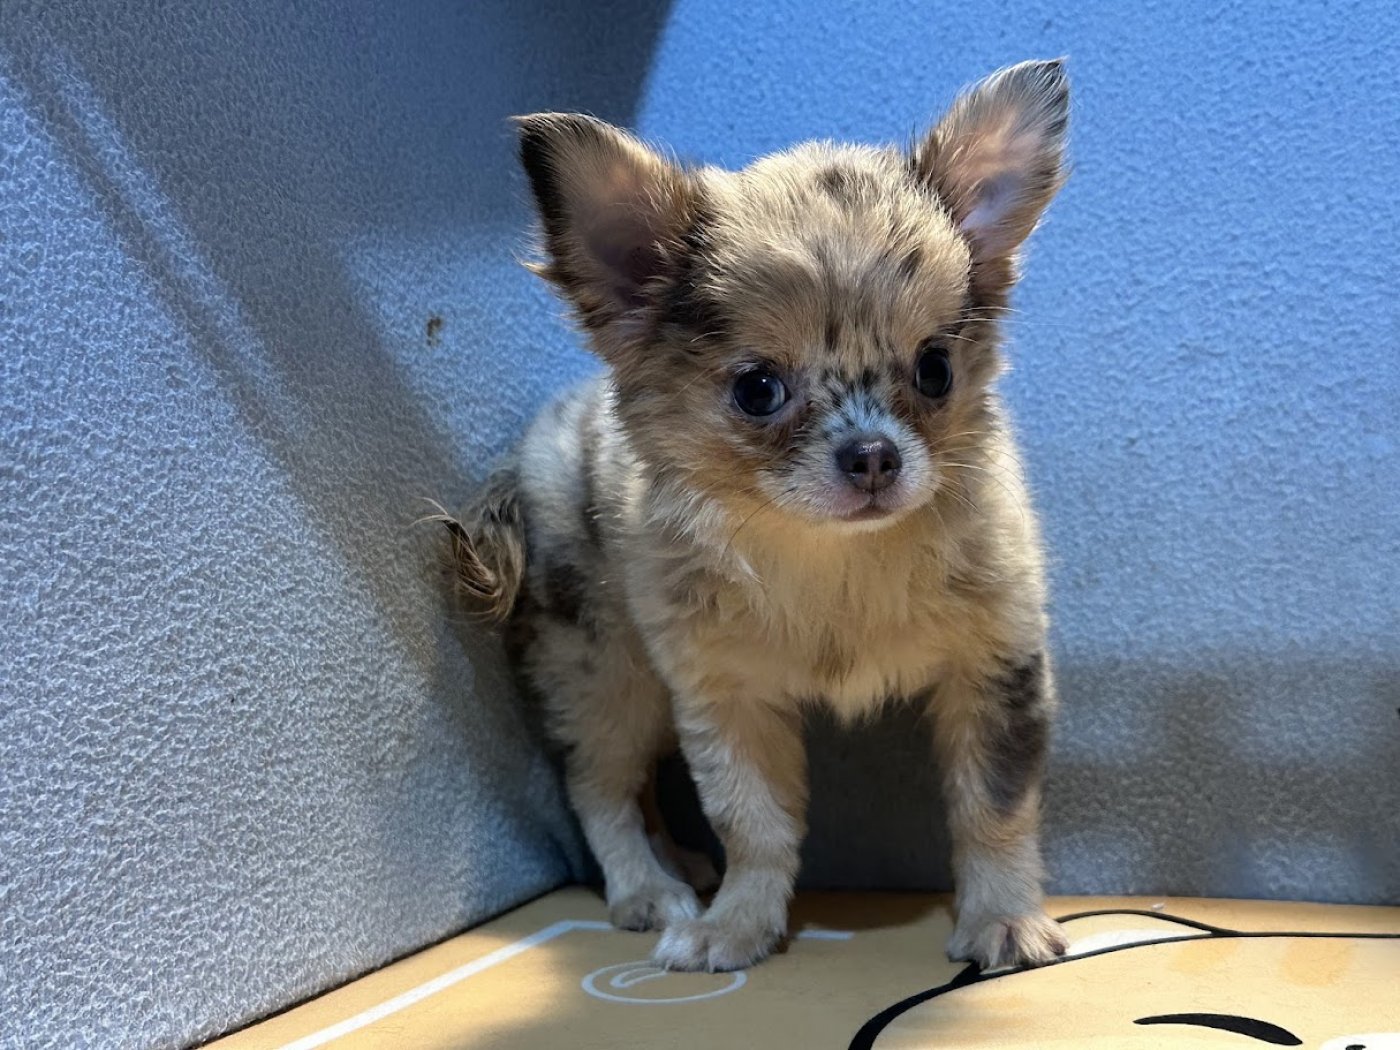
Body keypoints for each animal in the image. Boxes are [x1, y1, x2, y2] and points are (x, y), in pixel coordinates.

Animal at [439, 59, 1072, 974]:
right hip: (606, 674)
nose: (874, 457)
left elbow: (994, 808)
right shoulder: (727, 700)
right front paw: (735, 925)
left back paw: (679, 864)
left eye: (935, 369)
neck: (831, 557)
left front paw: (1004, 917)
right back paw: (647, 889)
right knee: (598, 785)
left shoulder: (995, 666)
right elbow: (755, 823)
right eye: (758, 390)